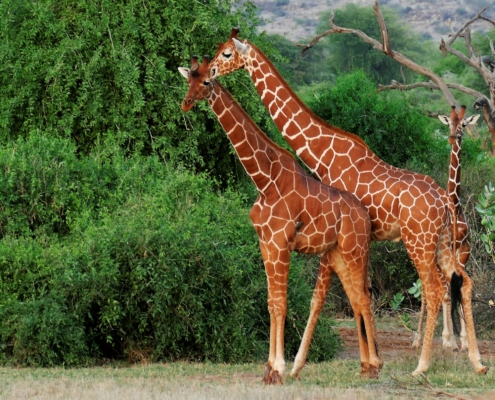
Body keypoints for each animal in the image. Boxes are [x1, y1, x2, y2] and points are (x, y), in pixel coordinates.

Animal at [179, 56, 384, 384]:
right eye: (189, 80)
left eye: (207, 81)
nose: (186, 103)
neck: (265, 179)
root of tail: (365, 215)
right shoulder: (265, 243)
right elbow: (271, 303)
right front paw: (269, 369)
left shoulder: (281, 244)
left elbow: (282, 303)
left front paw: (279, 368)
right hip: (338, 254)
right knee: (356, 298)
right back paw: (365, 366)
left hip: (355, 251)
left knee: (363, 299)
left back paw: (374, 366)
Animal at [208, 29, 488, 376]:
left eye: (227, 54)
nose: (210, 70)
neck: (324, 154)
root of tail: (445, 203)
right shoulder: (356, 238)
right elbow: (361, 291)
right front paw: (371, 358)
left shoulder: (337, 237)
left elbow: (322, 297)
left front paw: (297, 364)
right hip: (444, 244)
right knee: (463, 282)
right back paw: (476, 361)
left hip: (418, 241)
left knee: (435, 288)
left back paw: (423, 365)